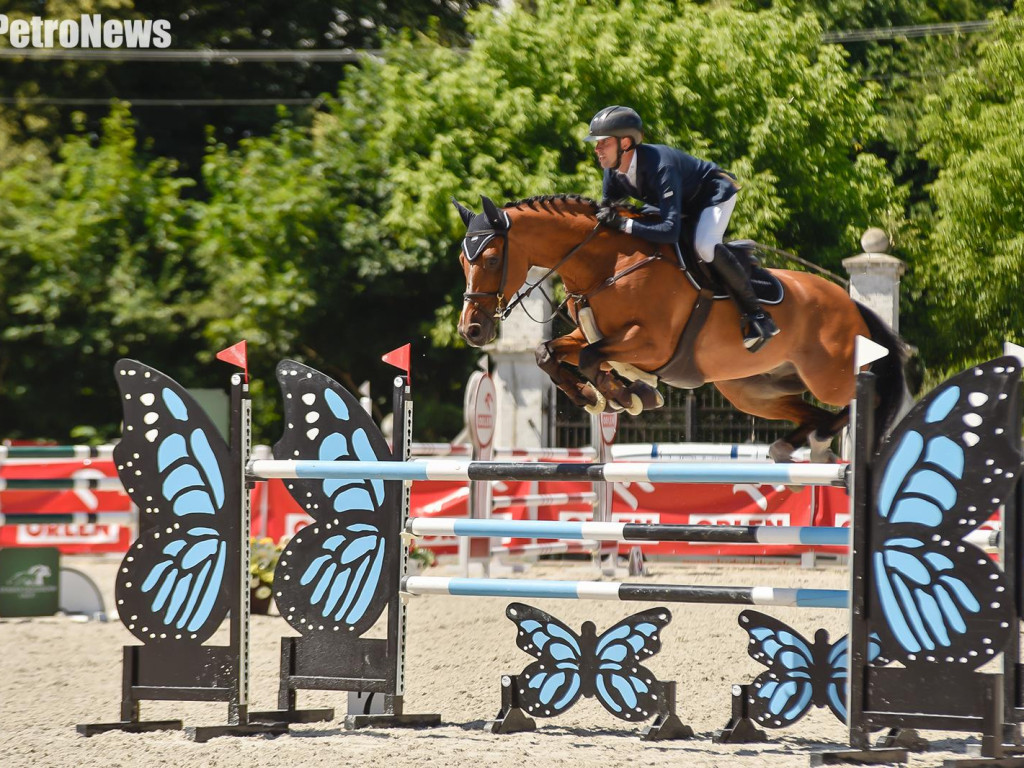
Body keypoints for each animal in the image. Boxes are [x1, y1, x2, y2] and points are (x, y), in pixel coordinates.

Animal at [452, 195, 909, 466]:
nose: (471, 330)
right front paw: (597, 396)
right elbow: (548, 353)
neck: (607, 264)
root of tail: (851, 304)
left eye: (491, 258)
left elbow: (592, 358)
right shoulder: (592, 336)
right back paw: (797, 444)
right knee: (811, 412)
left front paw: (628, 396)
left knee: (865, 397)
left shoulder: (652, 343)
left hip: (828, 374)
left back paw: (825, 439)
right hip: (753, 390)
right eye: (461, 260)